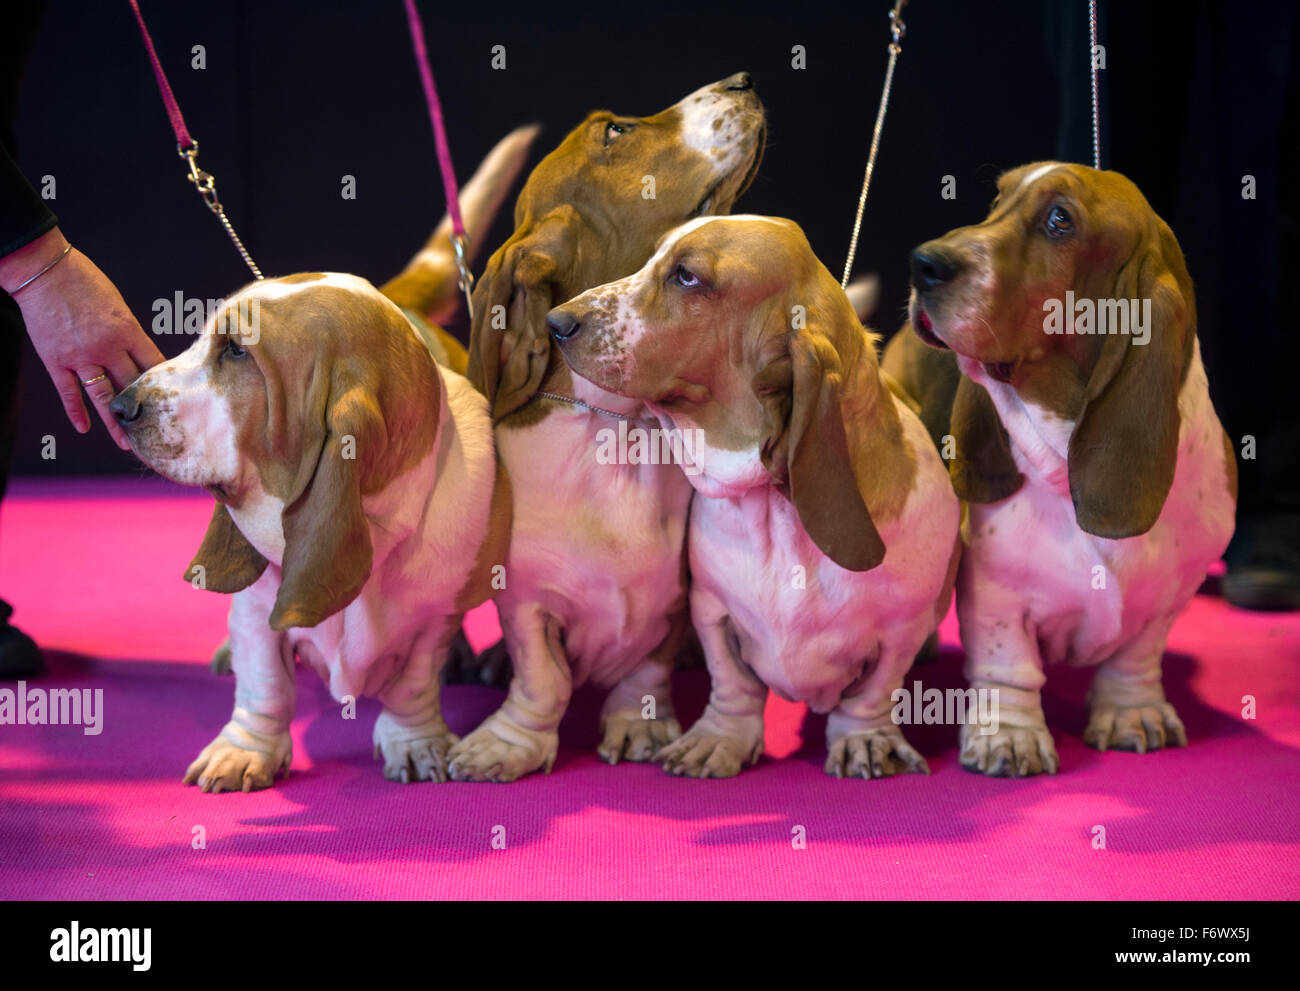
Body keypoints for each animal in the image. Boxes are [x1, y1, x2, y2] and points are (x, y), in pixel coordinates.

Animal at [109, 129, 535, 785]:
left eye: (236, 351)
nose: (121, 404)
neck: (375, 525)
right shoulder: (259, 607)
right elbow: (264, 684)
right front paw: (246, 750)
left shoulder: (432, 617)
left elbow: (414, 682)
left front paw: (414, 741)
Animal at [449, 75, 759, 780]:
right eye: (615, 130)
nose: (743, 81)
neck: (618, 426)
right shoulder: (527, 603)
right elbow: (542, 677)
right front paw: (512, 741)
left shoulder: (669, 596)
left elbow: (644, 669)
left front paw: (637, 724)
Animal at [543, 218, 961, 780]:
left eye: (687, 276)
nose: (555, 321)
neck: (778, 513)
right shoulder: (713, 612)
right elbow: (733, 684)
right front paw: (719, 740)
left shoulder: (900, 632)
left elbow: (871, 695)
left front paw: (865, 741)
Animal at [909, 161, 1232, 775]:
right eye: (996, 200)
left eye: (1059, 220)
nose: (922, 263)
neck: (1061, 458)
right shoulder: (997, 592)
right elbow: (1008, 667)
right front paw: (1009, 737)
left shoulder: (1173, 593)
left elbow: (1136, 655)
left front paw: (1133, 712)